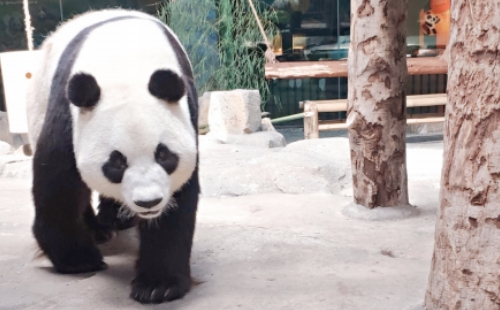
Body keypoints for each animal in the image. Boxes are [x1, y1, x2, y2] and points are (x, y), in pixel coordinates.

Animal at [25, 9, 199, 302]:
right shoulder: (67, 111)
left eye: (164, 156)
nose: (148, 202)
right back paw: (99, 230)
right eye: (116, 163)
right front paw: (78, 260)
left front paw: (158, 285)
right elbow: (59, 182)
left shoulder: (187, 112)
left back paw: (117, 218)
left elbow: (179, 200)